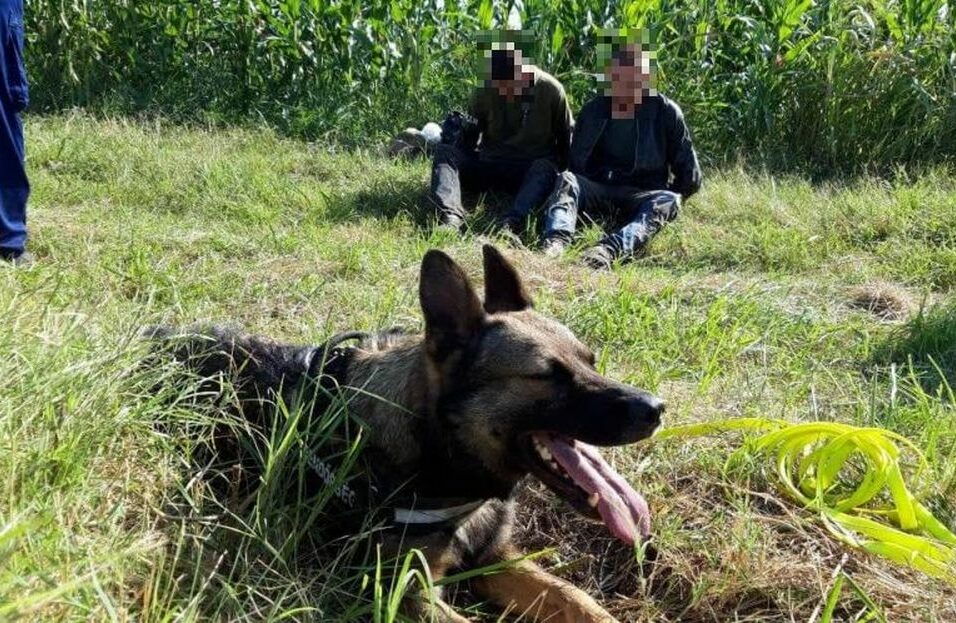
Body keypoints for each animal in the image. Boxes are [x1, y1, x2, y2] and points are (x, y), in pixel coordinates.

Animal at [153, 246, 668, 620]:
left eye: (591, 361)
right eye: (547, 376)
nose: (657, 409)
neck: (442, 462)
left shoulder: (496, 558)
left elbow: (579, 600)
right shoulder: (408, 590)